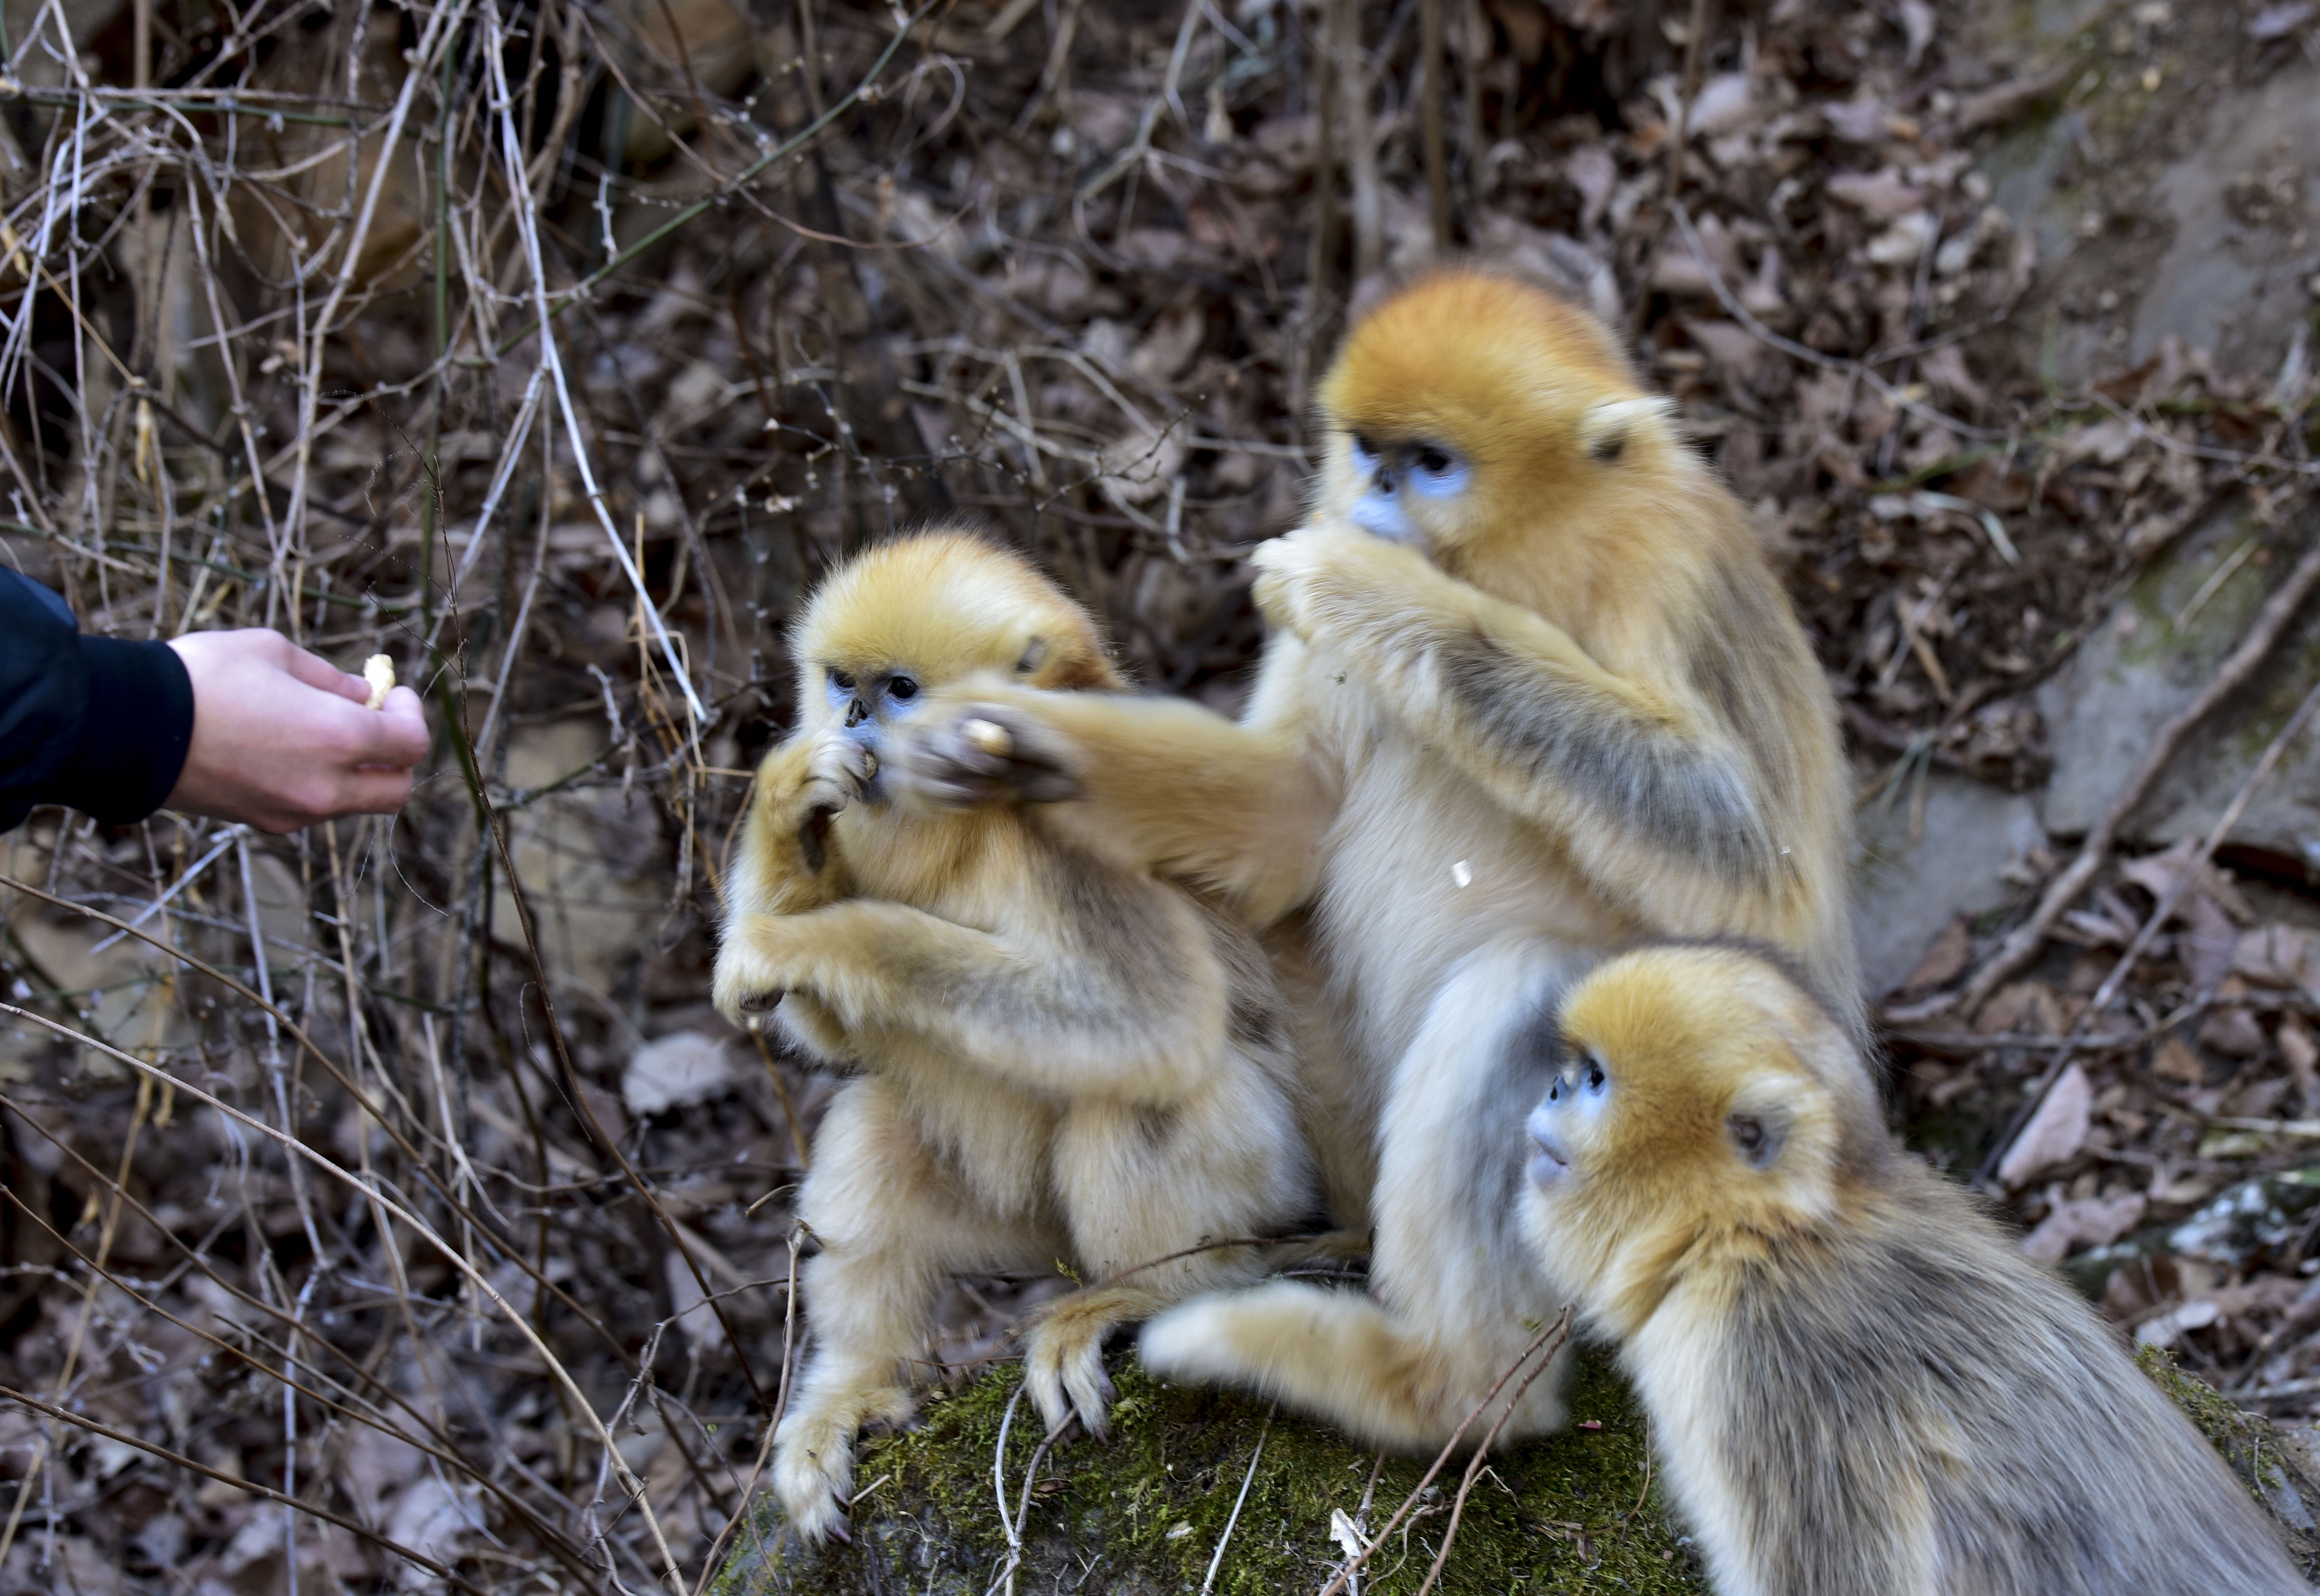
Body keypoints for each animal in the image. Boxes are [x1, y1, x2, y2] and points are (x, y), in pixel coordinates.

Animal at [877, 271, 1855, 1447]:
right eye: (1366, 449)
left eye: (1430, 461)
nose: (1375, 496)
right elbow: (1288, 825)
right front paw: (1020, 744)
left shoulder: (1671, 564)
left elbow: (1754, 864)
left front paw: (1367, 590)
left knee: (1519, 984)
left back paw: (1428, 1383)